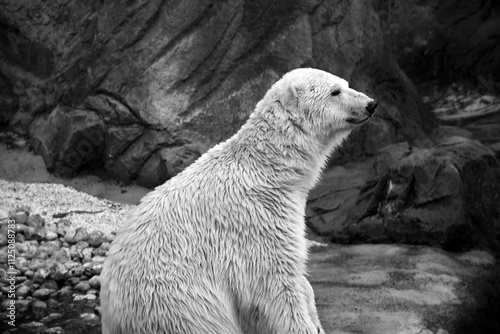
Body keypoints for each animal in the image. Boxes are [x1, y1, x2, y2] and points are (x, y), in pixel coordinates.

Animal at [100, 68, 376, 334]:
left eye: (346, 83)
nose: (371, 104)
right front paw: (306, 326)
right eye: (335, 91)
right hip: (178, 306)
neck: (268, 167)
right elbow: (276, 283)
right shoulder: (257, 220)